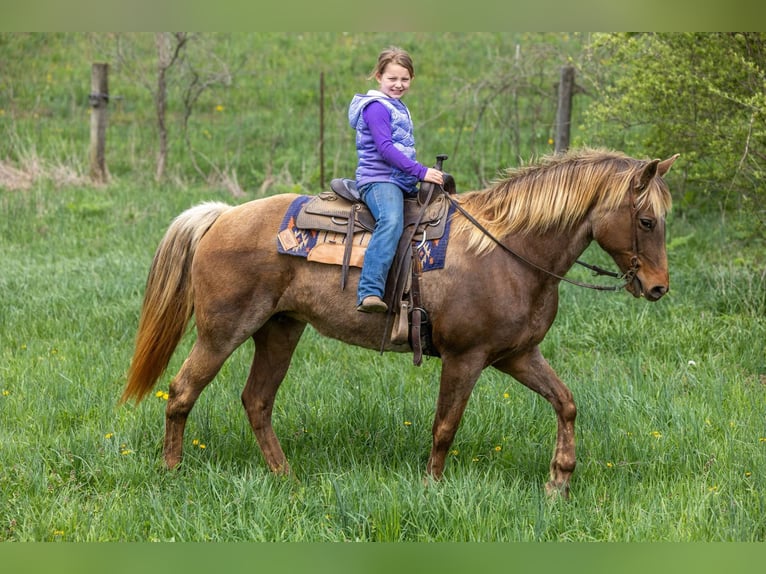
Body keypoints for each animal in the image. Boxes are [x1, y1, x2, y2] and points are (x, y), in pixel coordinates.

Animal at [120, 148, 679, 497]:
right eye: (646, 220)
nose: (658, 287)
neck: (507, 250)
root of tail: (222, 215)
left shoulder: (517, 356)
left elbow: (566, 403)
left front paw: (558, 482)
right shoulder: (465, 358)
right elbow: (445, 425)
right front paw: (433, 487)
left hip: (279, 330)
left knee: (256, 401)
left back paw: (286, 478)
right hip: (222, 333)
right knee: (182, 391)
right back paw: (172, 472)